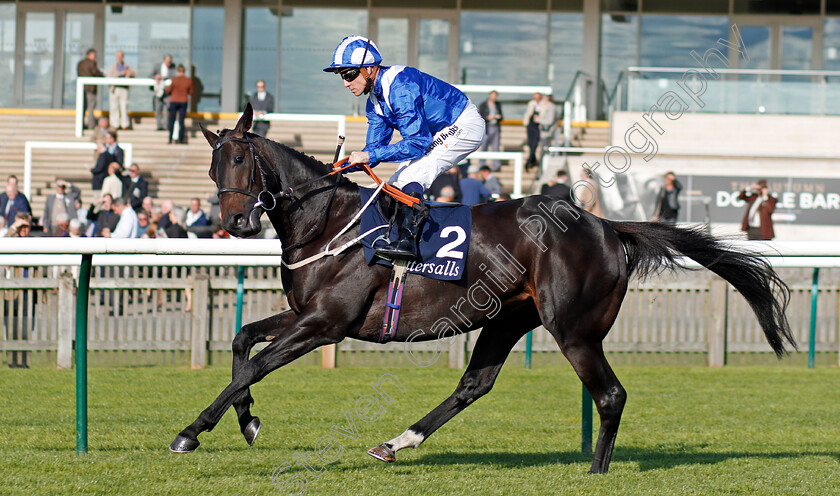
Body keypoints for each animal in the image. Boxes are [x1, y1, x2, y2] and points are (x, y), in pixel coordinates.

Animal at [166, 106, 796, 474]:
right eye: (213, 168)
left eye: (243, 158)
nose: (235, 222)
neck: (327, 221)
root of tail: (605, 225)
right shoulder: (305, 314)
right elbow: (242, 342)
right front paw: (247, 421)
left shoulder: (326, 323)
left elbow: (253, 364)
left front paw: (191, 432)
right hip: (509, 317)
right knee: (476, 383)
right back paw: (396, 442)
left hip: (574, 329)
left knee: (610, 395)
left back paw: (595, 471)